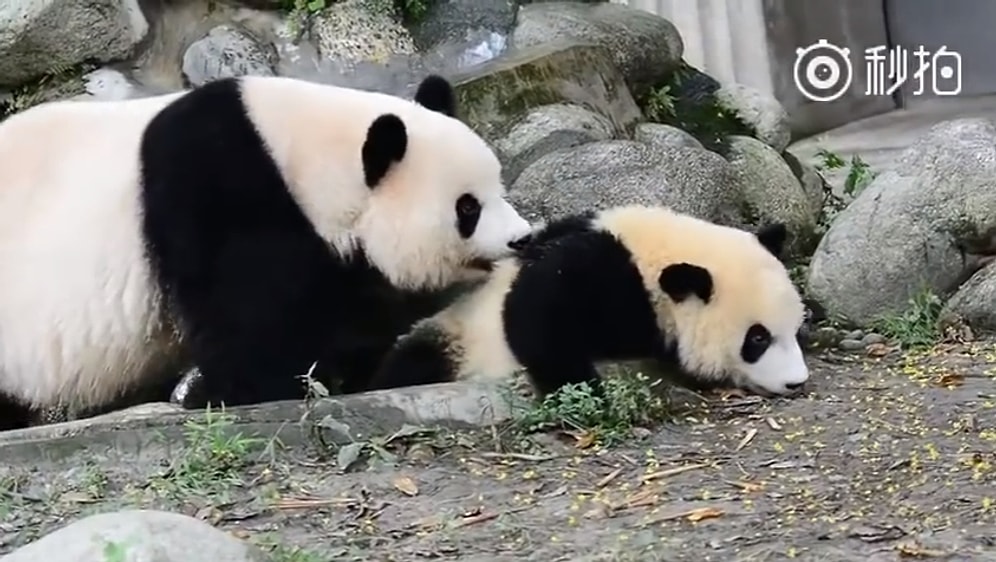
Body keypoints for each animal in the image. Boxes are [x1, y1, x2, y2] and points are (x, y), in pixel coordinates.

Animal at [0, 74, 533, 430]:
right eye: (468, 207)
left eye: (499, 187)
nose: (521, 238)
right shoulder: (222, 192)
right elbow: (256, 326)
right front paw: (241, 391)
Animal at [364, 204, 810, 399]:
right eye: (757, 339)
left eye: (794, 329)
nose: (797, 382)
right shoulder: (611, 279)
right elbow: (537, 311)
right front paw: (582, 387)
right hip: (457, 336)